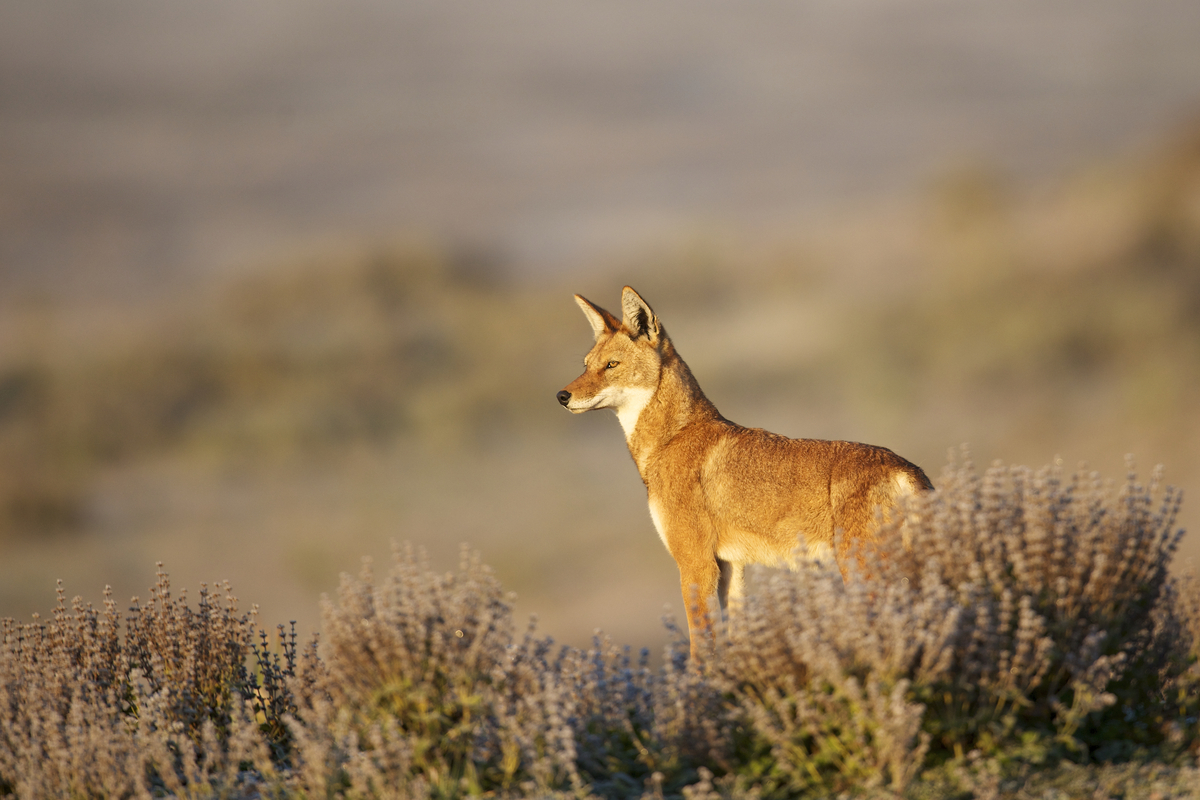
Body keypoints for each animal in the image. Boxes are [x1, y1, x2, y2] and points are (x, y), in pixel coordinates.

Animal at [556, 287, 931, 662]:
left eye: (612, 365)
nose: (562, 395)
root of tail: (907, 468)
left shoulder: (696, 564)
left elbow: (700, 652)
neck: (671, 439)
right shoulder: (731, 567)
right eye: (586, 365)